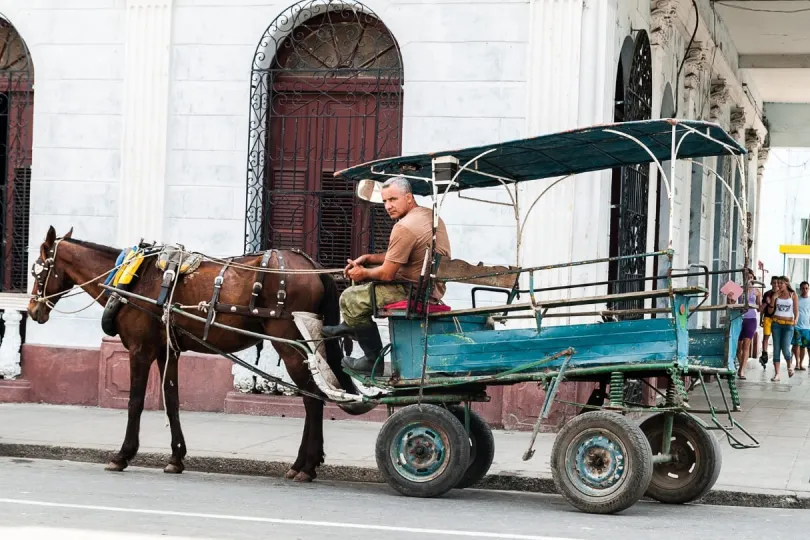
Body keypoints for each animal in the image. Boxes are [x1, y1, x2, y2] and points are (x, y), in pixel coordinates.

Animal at [26, 226, 354, 484]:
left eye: (38, 268)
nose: (32, 310)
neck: (131, 279)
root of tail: (310, 264)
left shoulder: (140, 350)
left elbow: (134, 402)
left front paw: (123, 454)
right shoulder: (167, 351)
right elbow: (172, 401)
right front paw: (176, 457)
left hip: (290, 343)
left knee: (312, 399)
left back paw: (305, 466)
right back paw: (306, 463)